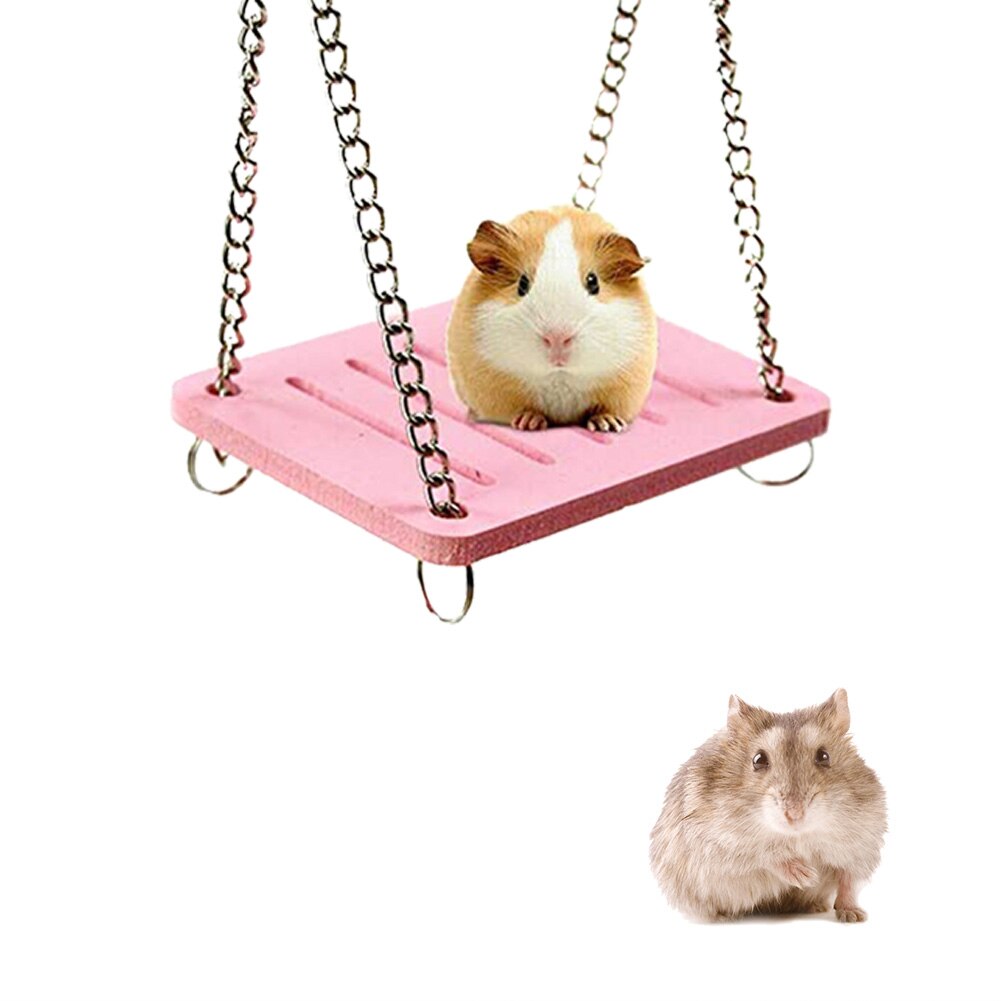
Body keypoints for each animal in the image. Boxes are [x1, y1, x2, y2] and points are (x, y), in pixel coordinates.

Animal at [446, 206, 657, 432]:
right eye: (522, 284)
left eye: (593, 282)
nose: (557, 338)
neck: (560, 376)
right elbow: (520, 409)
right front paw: (529, 423)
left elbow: (606, 408)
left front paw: (608, 425)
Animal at [649, 690, 886, 923]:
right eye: (758, 759)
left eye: (824, 756)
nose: (795, 815)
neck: (798, 836)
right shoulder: (718, 843)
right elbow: (767, 857)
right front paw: (806, 875)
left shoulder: (861, 845)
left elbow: (848, 880)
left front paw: (854, 915)